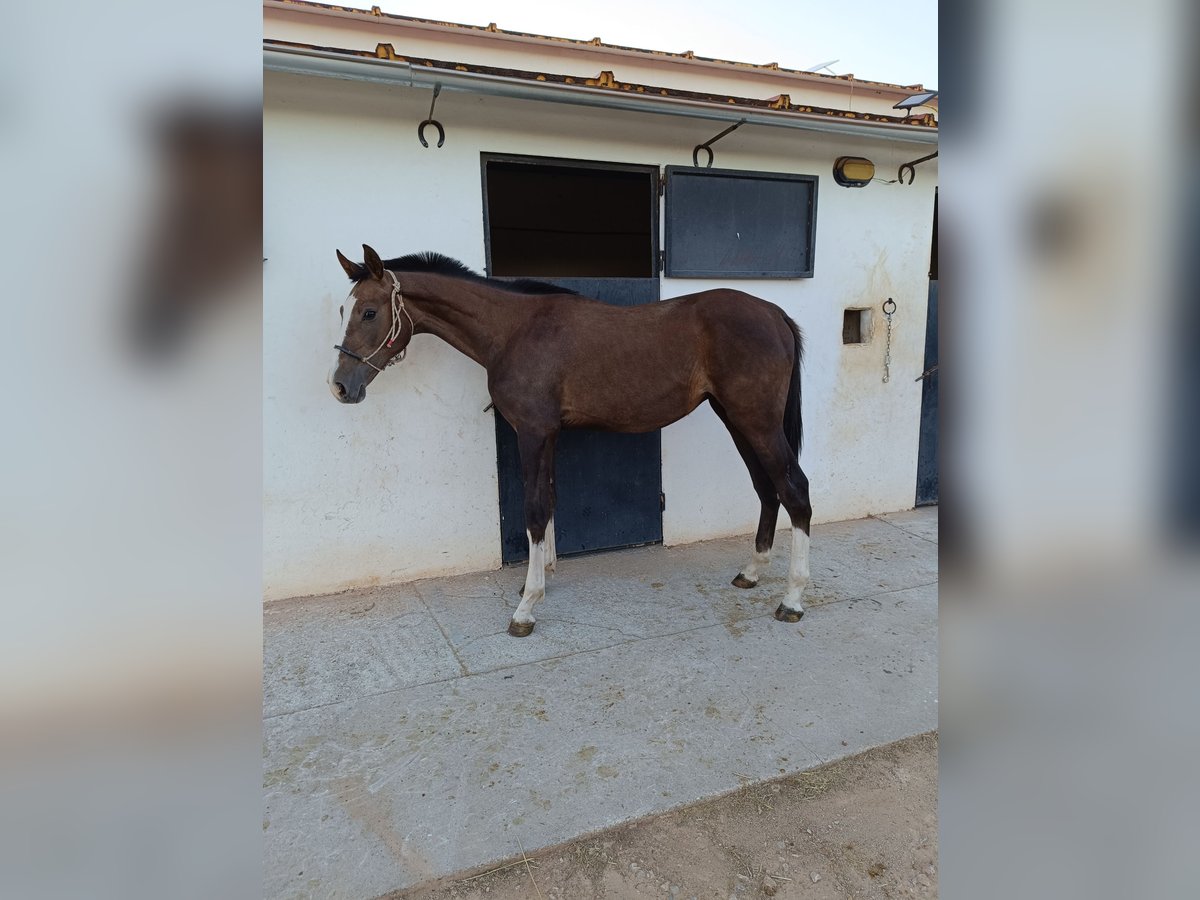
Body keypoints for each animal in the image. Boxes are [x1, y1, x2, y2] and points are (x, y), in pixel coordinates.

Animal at [333, 243, 811, 638]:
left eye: (370, 312)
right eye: (343, 309)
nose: (340, 386)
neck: (514, 330)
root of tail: (775, 314)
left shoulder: (532, 432)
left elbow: (533, 509)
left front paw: (526, 607)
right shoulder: (548, 435)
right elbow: (548, 502)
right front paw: (539, 579)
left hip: (757, 422)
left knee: (795, 491)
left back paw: (792, 600)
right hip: (737, 419)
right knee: (767, 488)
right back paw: (751, 573)